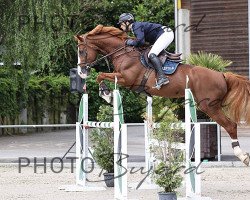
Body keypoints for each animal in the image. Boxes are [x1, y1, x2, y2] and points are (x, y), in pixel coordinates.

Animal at [75, 25, 250, 166]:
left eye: (82, 51)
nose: (81, 72)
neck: (123, 54)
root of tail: (222, 75)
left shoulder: (126, 79)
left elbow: (101, 76)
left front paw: (106, 94)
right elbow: (101, 76)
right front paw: (106, 93)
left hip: (208, 106)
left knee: (230, 125)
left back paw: (242, 156)